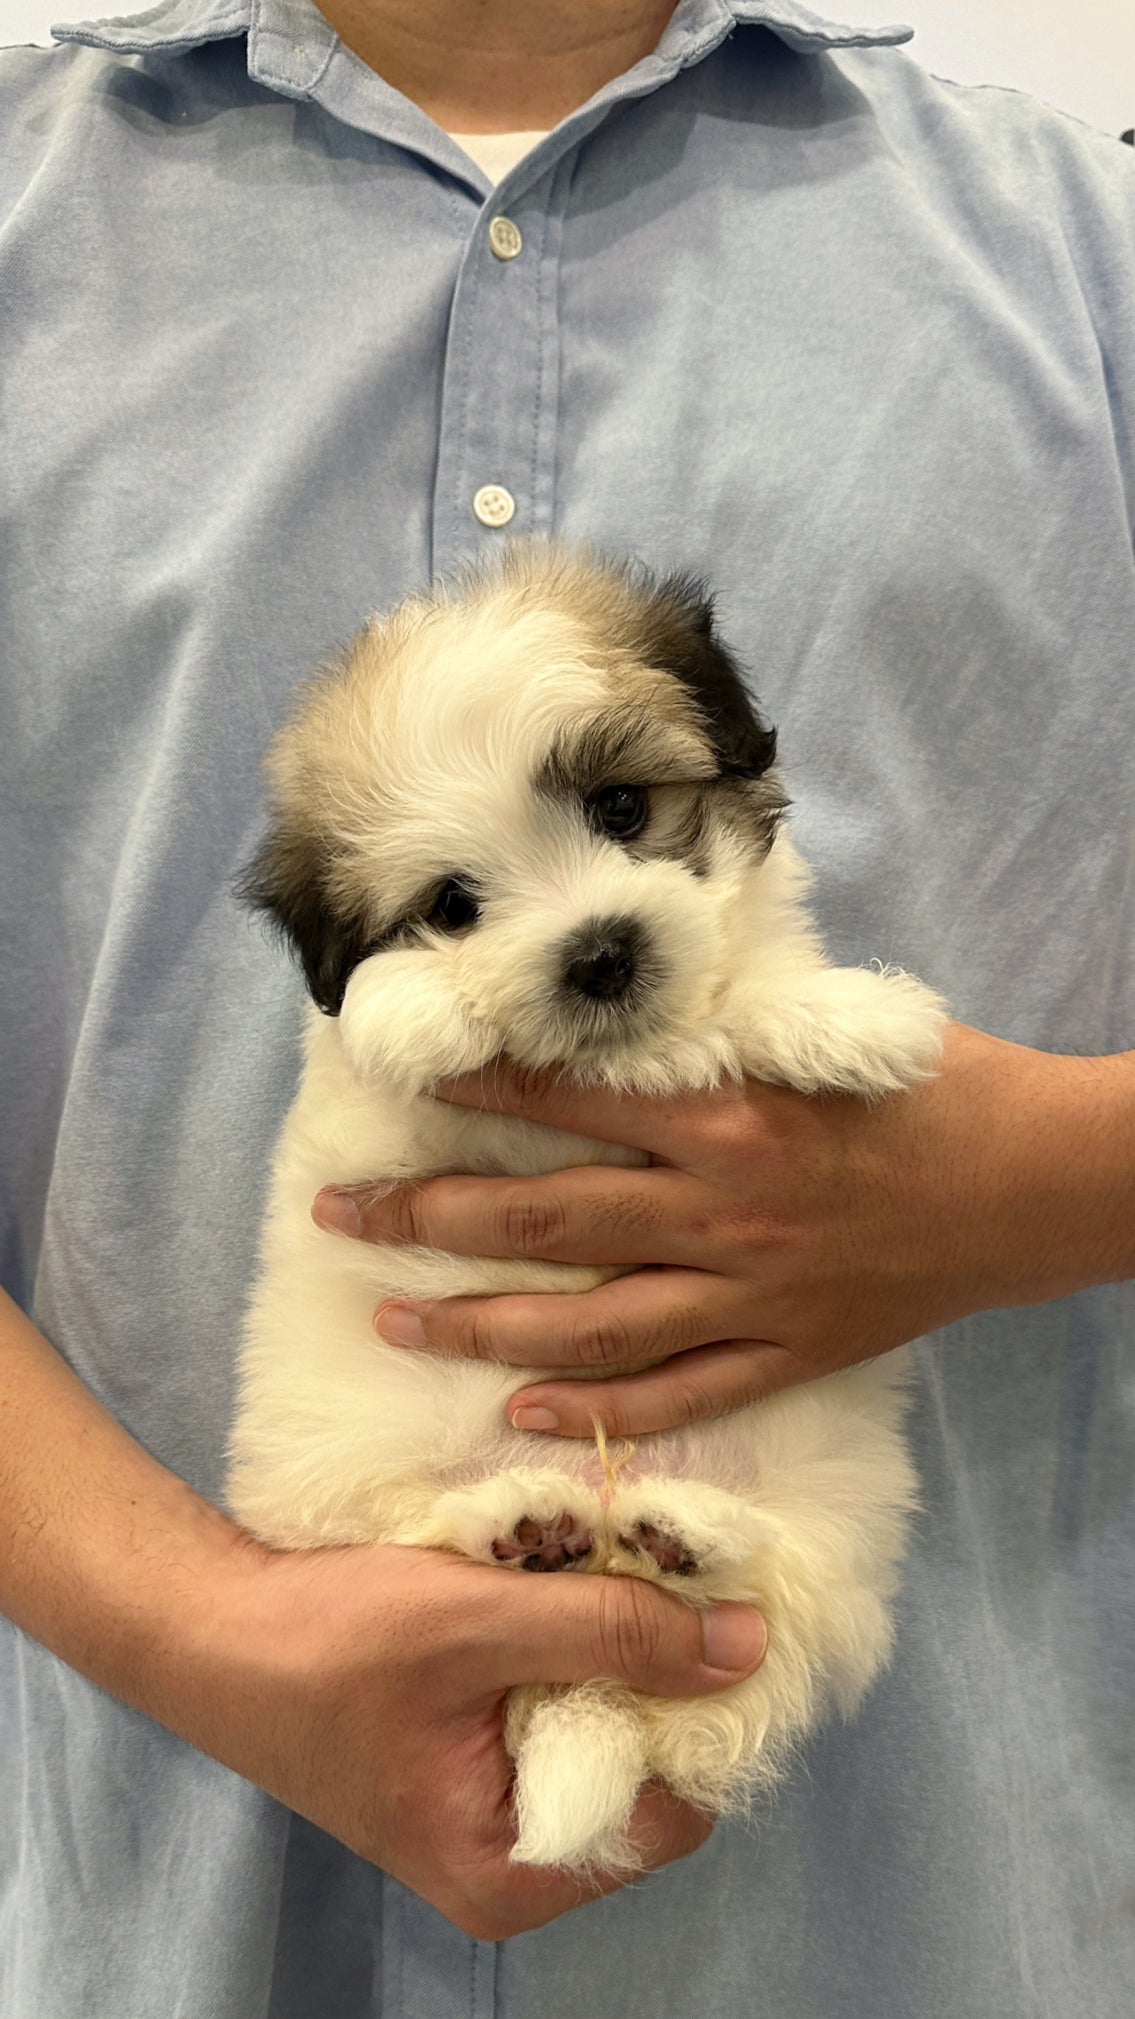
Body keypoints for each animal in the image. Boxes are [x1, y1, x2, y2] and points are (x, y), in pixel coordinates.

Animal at [225, 541, 941, 1873]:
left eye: (619, 808)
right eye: (452, 904)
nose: (600, 953)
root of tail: (584, 1698)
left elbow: (745, 982)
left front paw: (849, 1020)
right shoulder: (370, 1142)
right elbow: (385, 1047)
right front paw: (424, 1010)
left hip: (832, 1513)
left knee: (760, 1596)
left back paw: (679, 1536)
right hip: (347, 1495)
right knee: (424, 1533)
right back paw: (527, 1528)